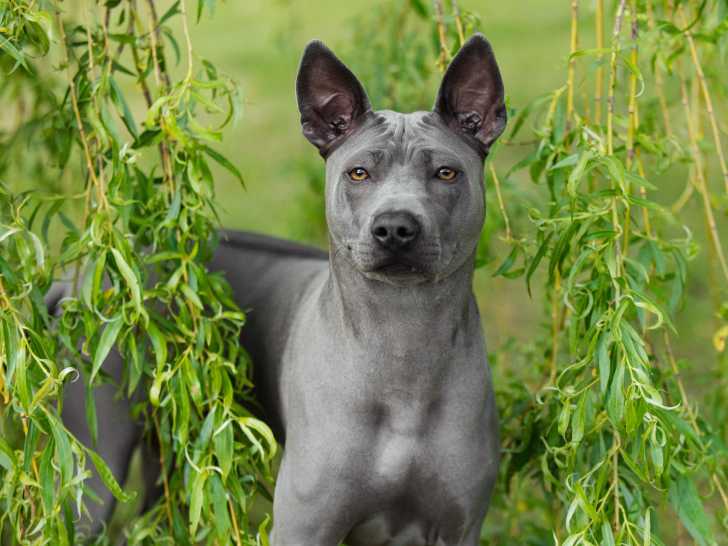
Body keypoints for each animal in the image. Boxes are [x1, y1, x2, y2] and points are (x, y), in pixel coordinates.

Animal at [62, 33, 506, 546]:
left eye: (446, 173)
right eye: (359, 173)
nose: (395, 228)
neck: (404, 345)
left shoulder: (457, 526)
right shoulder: (304, 524)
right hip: (96, 472)